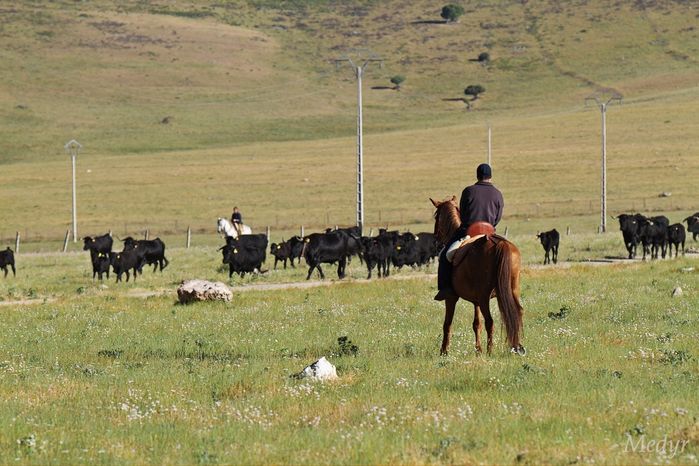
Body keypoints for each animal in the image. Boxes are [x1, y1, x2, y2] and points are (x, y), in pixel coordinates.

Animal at [432, 198, 524, 356]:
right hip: (511, 291)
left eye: (436, 216)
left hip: (484, 297)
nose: (436, 241)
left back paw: (490, 351)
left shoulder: (452, 298)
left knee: (490, 321)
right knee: (517, 313)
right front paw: (478, 349)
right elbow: (477, 324)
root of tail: (500, 244)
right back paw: (517, 347)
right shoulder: (476, 302)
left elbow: (447, 323)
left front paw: (444, 351)